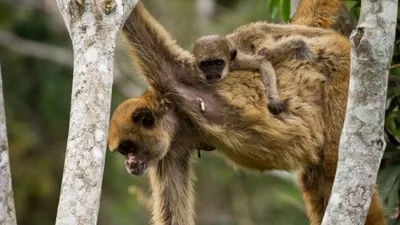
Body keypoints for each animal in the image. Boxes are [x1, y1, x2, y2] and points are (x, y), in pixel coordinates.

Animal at [108, 0, 386, 224]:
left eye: (129, 149)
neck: (181, 116)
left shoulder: (175, 76)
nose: (129, 164)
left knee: (331, 161)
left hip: (340, 64)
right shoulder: (169, 150)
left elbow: (137, 25)